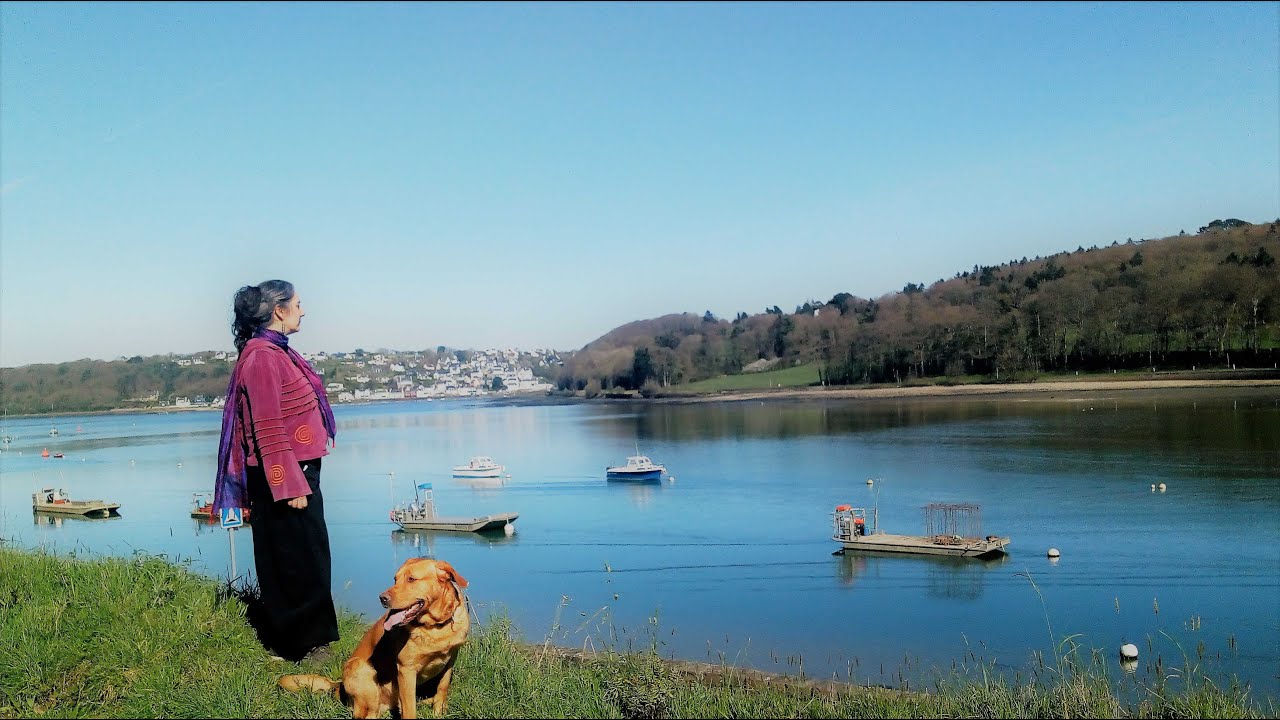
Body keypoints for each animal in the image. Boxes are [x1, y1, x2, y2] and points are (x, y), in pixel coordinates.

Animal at [282, 558, 473, 712]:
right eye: (395, 579)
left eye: (411, 579)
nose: (382, 598)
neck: (435, 627)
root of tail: (339, 685)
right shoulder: (406, 670)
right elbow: (410, 710)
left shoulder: (450, 660)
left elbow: (442, 689)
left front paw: (438, 711)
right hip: (364, 675)